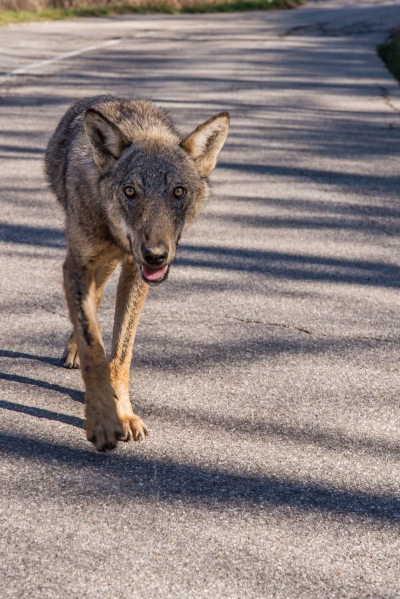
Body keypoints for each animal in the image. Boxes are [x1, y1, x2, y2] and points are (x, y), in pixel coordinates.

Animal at [43, 95, 230, 450]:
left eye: (178, 192)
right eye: (130, 191)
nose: (156, 256)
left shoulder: (134, 272)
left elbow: (120, 355)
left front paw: (124, 414)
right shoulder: (76, 264)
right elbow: (94, 347)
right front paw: (102, 420)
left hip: (111, 267)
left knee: (98, 298)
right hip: (93, 264)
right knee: (91, 307)